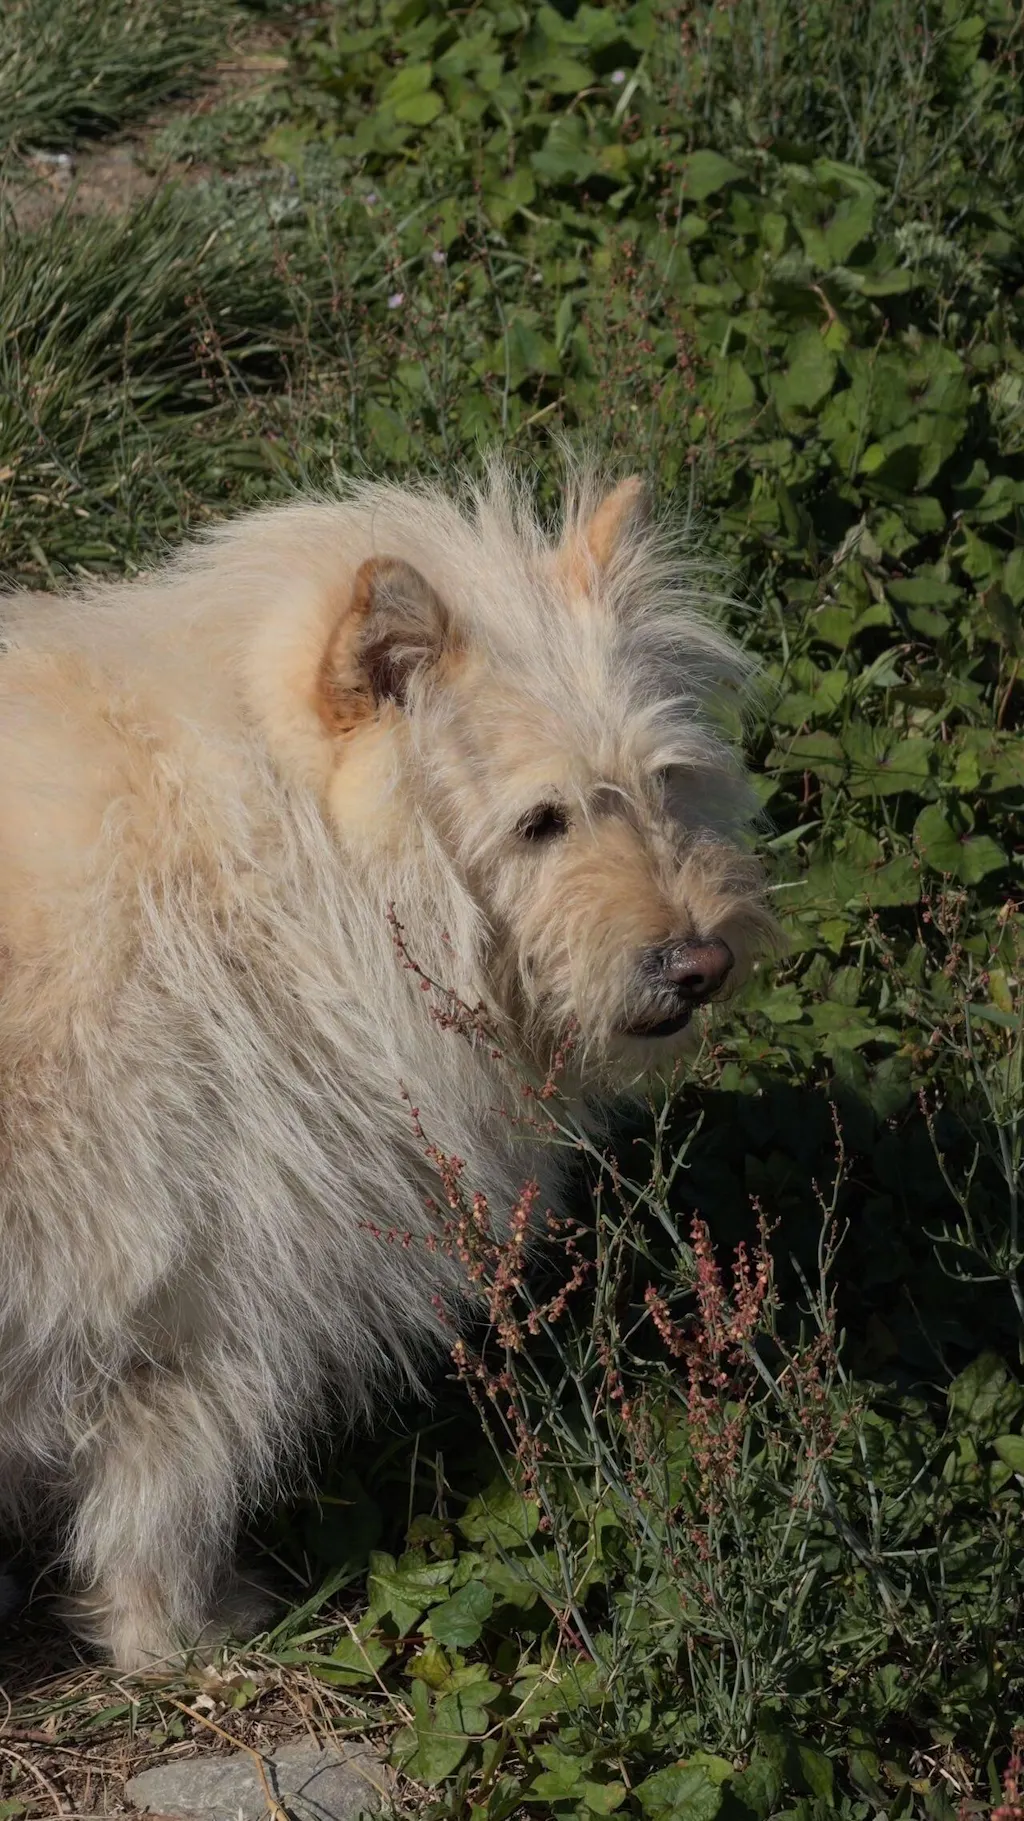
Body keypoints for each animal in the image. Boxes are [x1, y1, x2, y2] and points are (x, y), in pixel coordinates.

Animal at [0, 465, 778, 1670]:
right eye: (541, 821)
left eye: (667, 784)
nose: (703, 962)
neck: (276, 866)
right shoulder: (214, 1302)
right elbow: (170, 1486)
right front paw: (181, 1637)